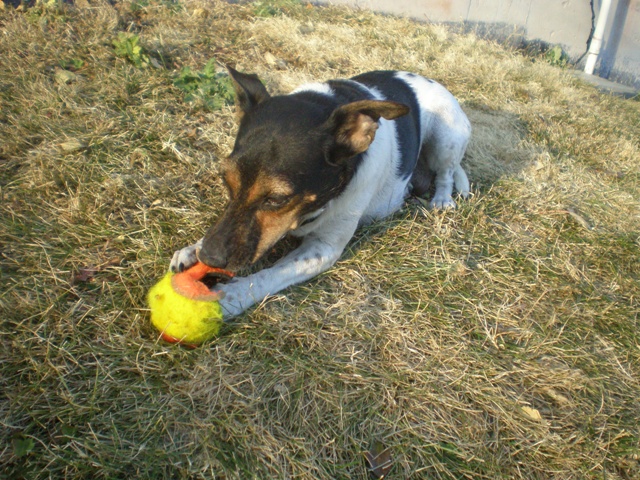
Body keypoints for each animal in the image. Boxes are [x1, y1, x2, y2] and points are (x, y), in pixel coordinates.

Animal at [170, 65, 470, 316]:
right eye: (225, 180)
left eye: (277, 199)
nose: (209, 257)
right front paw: (192, 249)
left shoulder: (323, 248)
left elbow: (270, 275)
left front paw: (232, 296)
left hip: (446, 134)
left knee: (447, 172)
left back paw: (442, 200)